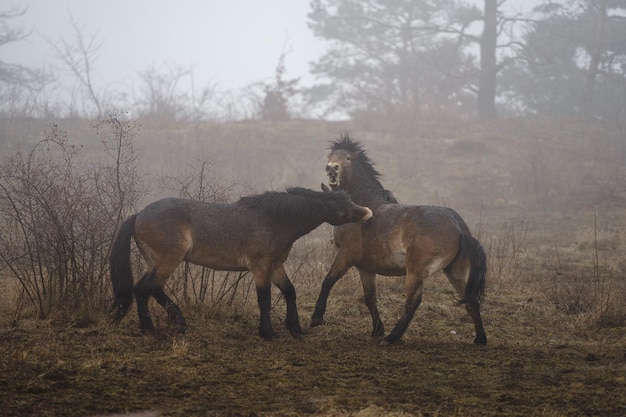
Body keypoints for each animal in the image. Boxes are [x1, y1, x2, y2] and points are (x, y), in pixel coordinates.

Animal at [109, 187, 370, 340]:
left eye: (349, 198)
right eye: (340, 209)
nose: (367, 212)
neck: (274, 220)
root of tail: (139, 215)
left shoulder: (276, 266)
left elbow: (289, 292)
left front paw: (295, 328)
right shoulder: (260, 268)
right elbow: (264, 299)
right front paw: (267, 332)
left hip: (154, 262)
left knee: (141, 289)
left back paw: (148, 328)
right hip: (168, 260)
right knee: (151, 287)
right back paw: (179, 323)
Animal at [310, 136, 486, 344]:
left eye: (347, 158)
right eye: (330, 155)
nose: (331, 168)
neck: (363, 208)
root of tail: (458, 227)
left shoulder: (346, 255)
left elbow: (328, 281)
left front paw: (316, 319)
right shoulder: (365, 267)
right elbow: (370, 297)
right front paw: (377, 329)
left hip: (416, 271)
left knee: (413, 302)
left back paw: (391, 338)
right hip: (455, 270)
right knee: (471, 300)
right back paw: (480, 339)